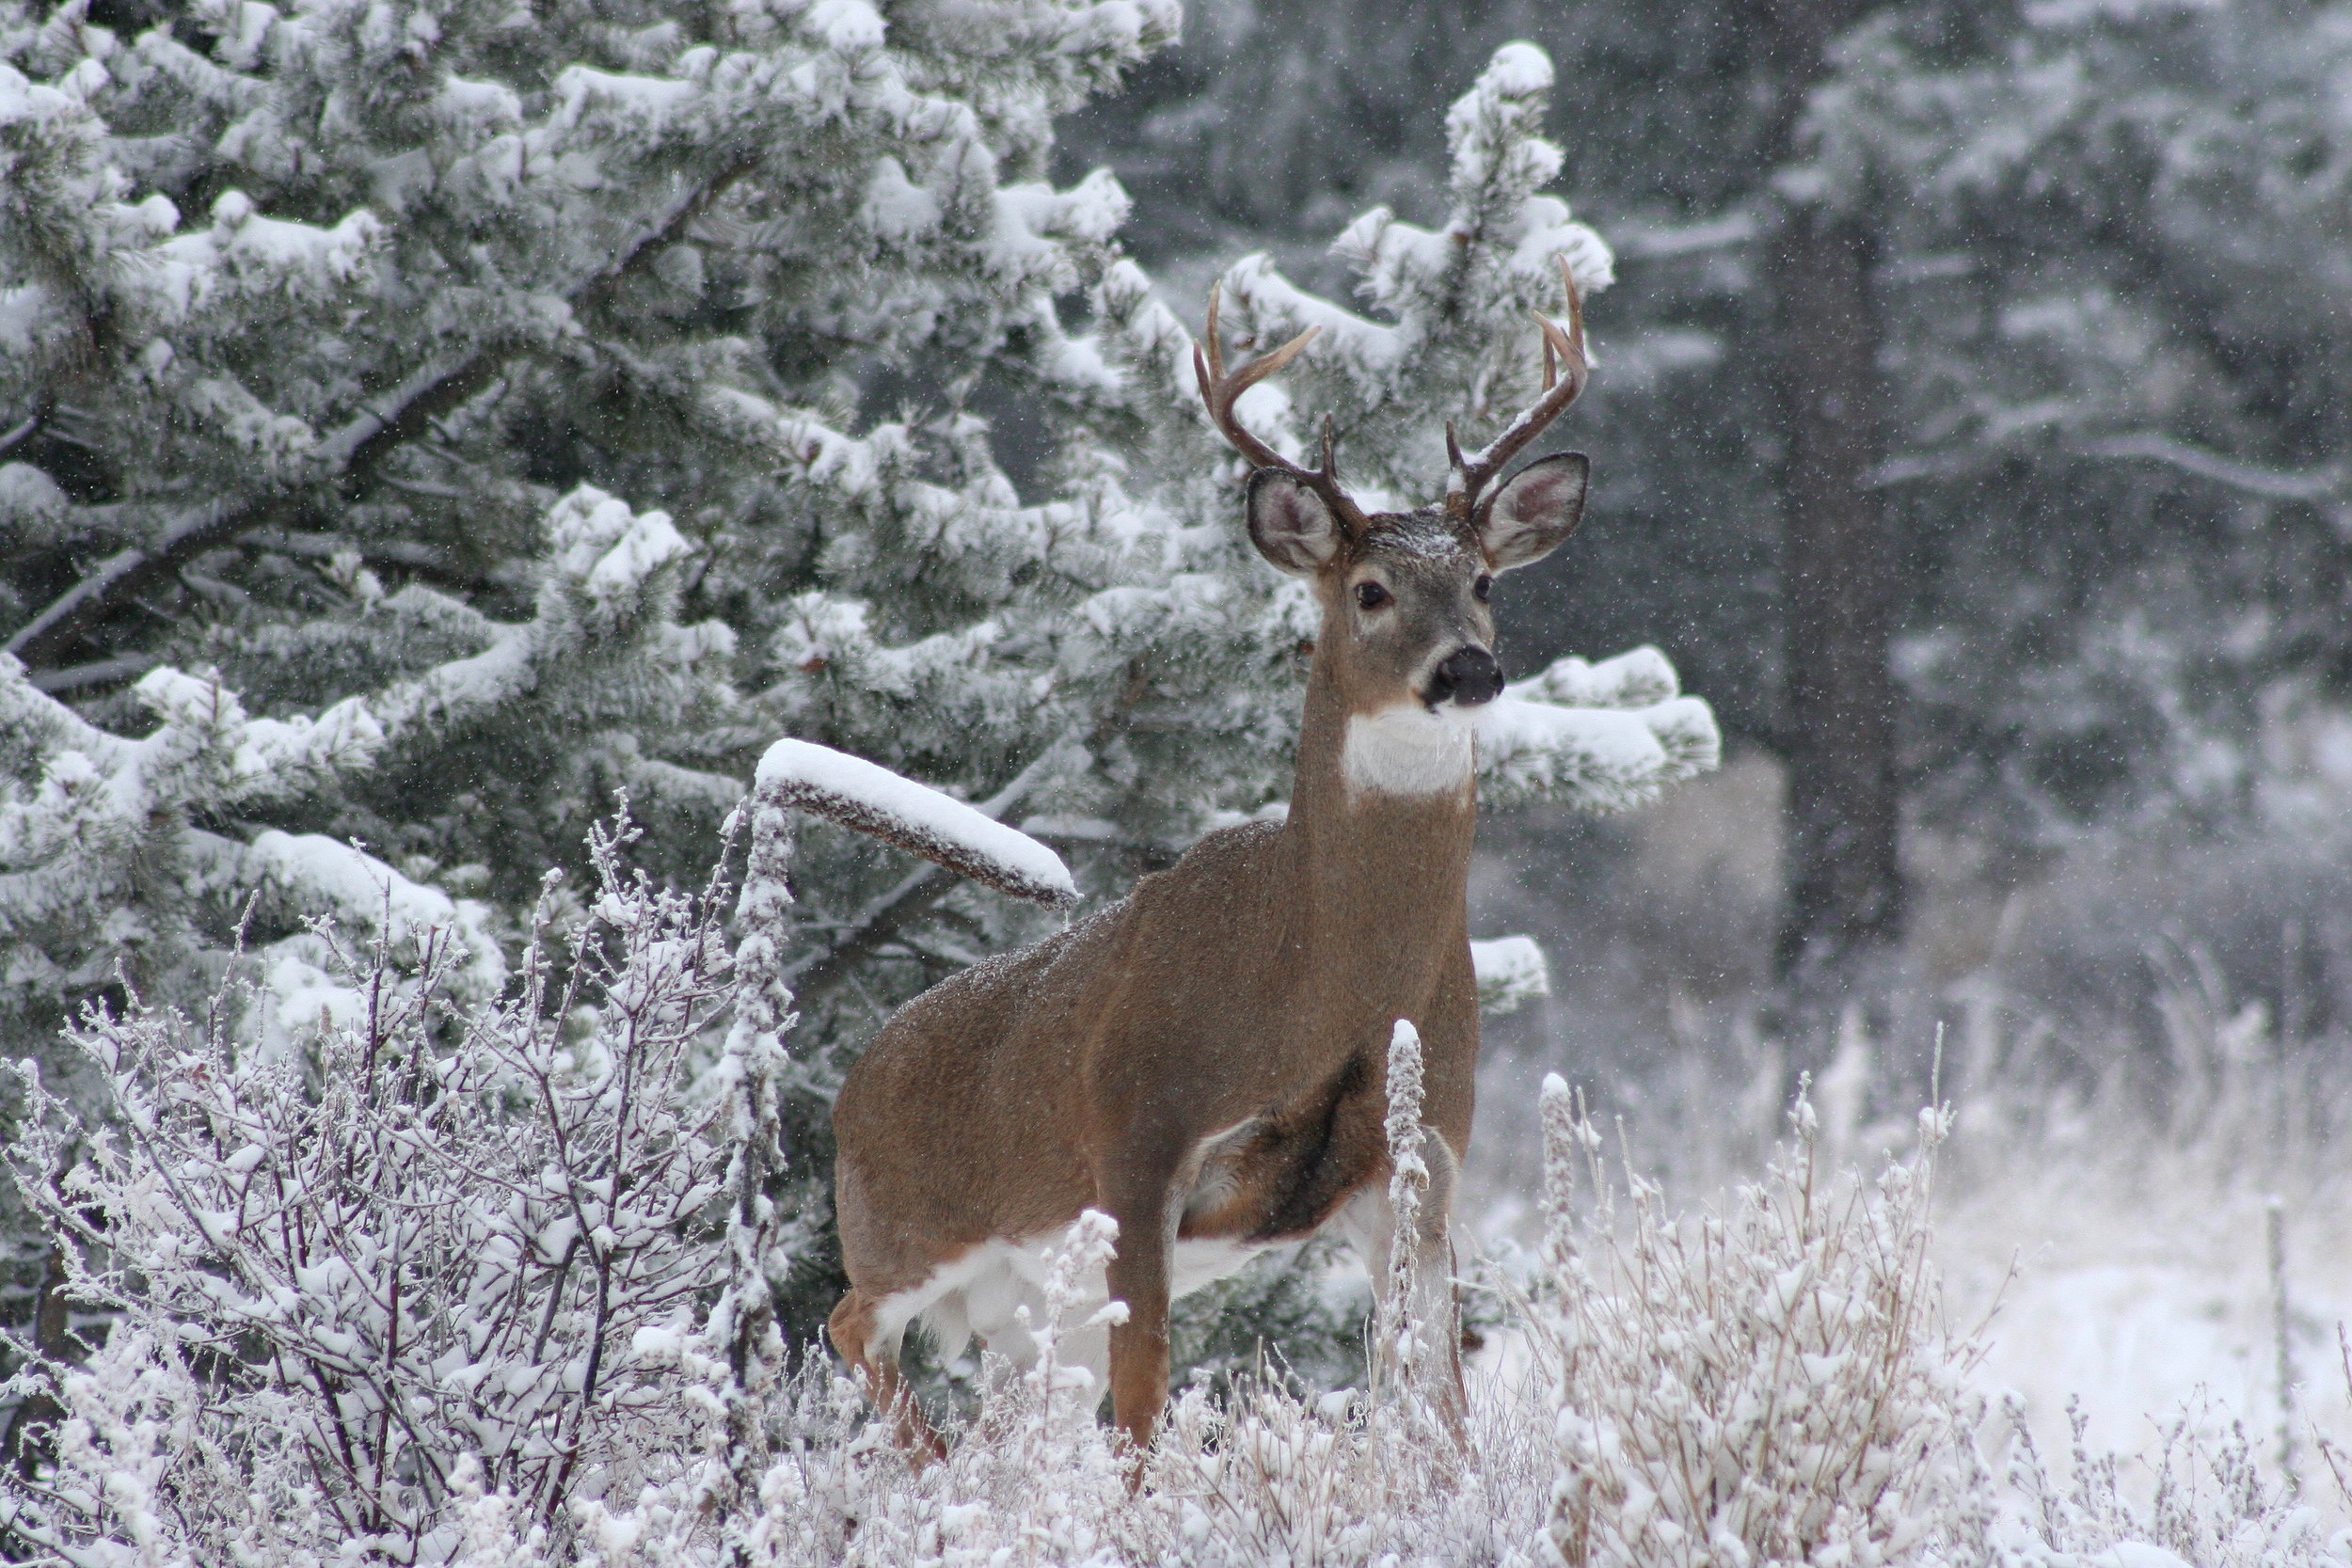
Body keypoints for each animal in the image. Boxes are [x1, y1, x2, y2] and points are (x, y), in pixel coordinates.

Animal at [828, 257, 1594, 1466]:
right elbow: (1147, 1403)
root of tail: (846, 1087)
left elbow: (1437, 1393)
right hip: (906, 1230)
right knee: (850, 1322)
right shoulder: (1140, 1130)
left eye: (1485, 581)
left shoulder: (1424, 1160)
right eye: (1369, 590)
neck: (1322, 982)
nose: (1467, 669)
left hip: (1028, 1303)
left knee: (1018, 1410)